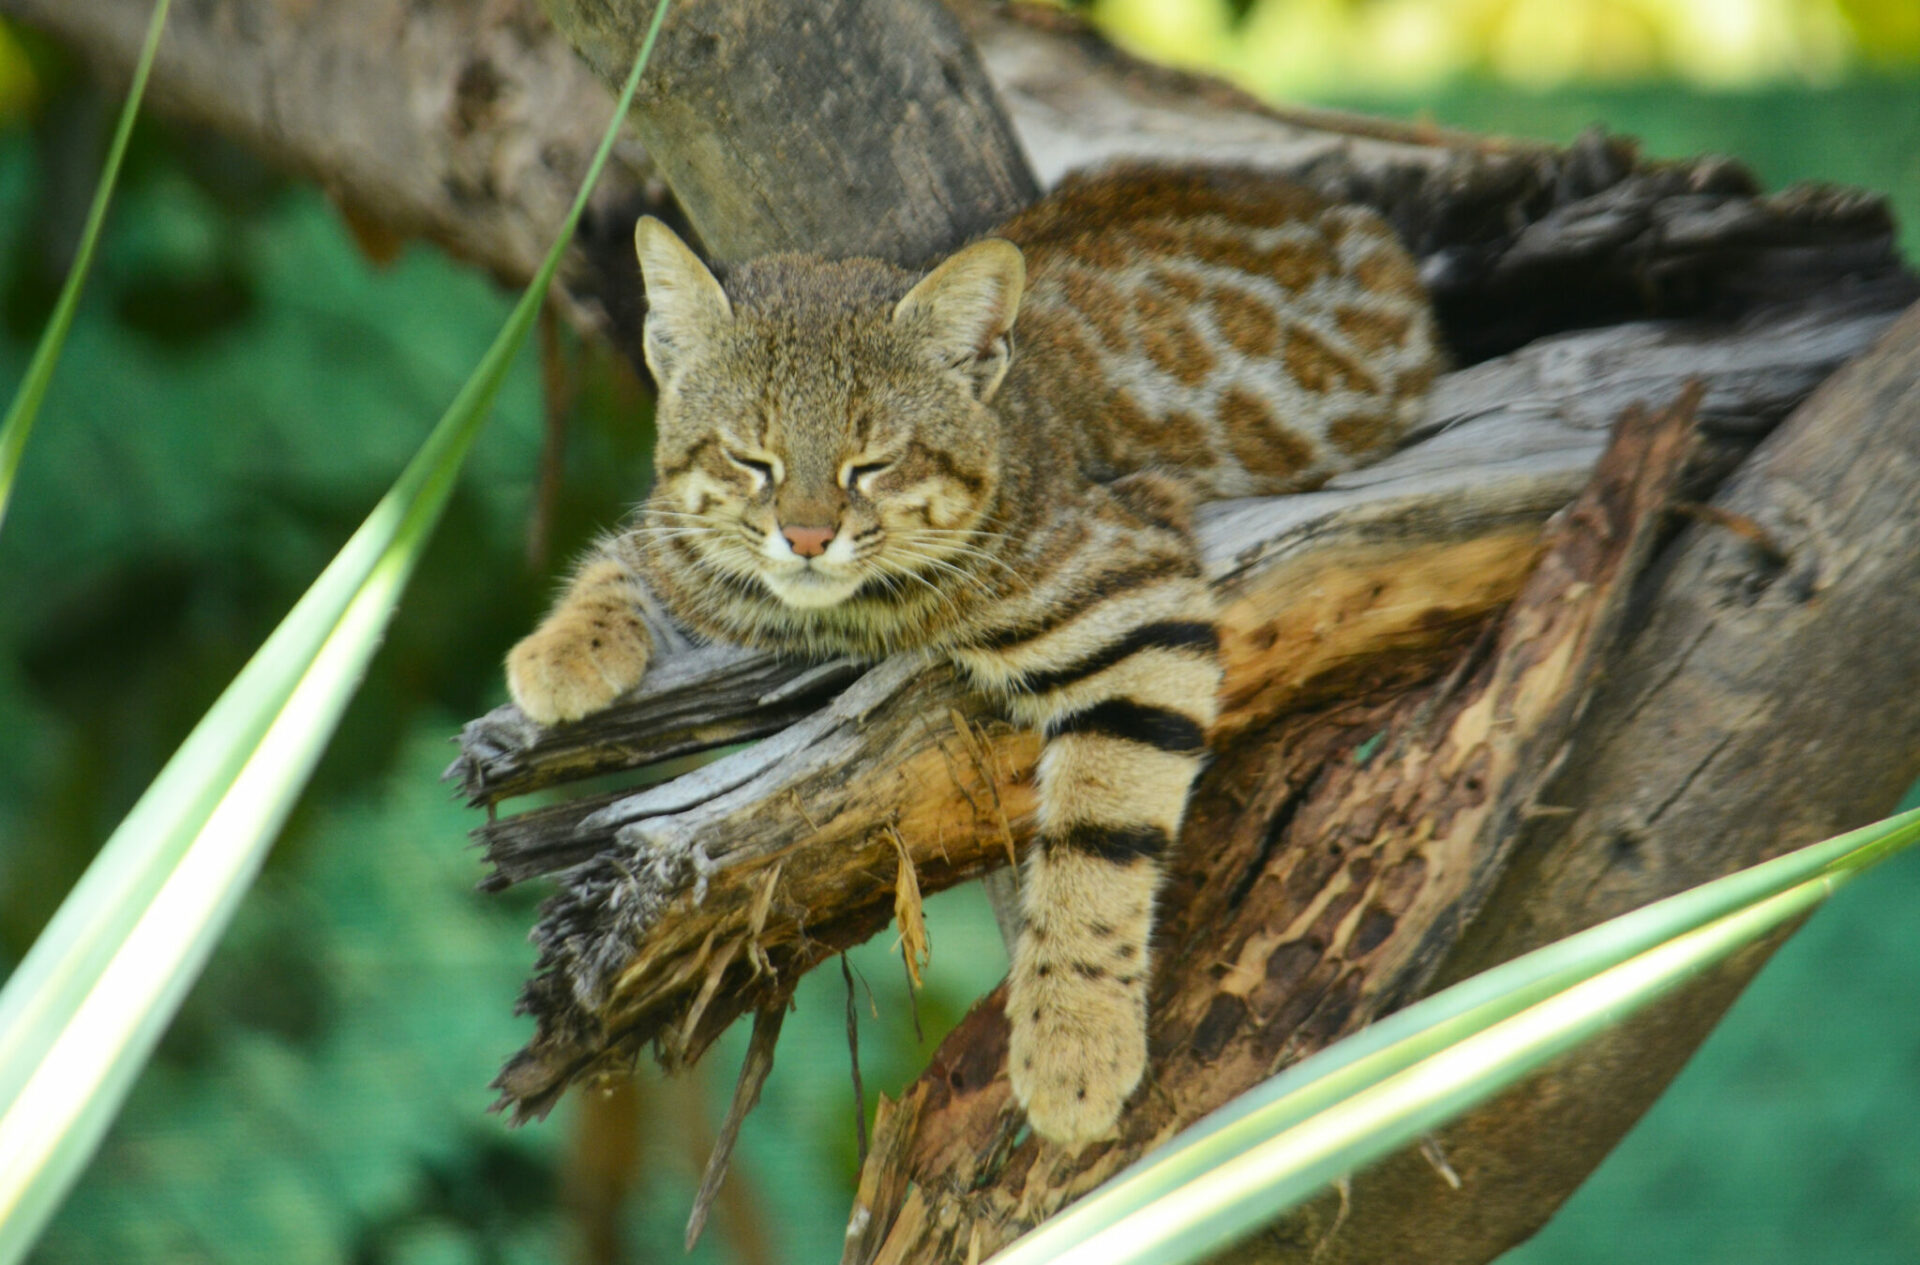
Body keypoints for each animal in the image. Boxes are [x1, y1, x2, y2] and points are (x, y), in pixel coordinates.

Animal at [503, 163, 1436, 1144]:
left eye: (872, 463)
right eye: (751, 458)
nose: (807, 536)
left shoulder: (1134, 595)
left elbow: (1099, 841)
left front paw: (1074, 1040)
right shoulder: (691, 538)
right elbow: (629, 551)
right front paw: (563, 647)